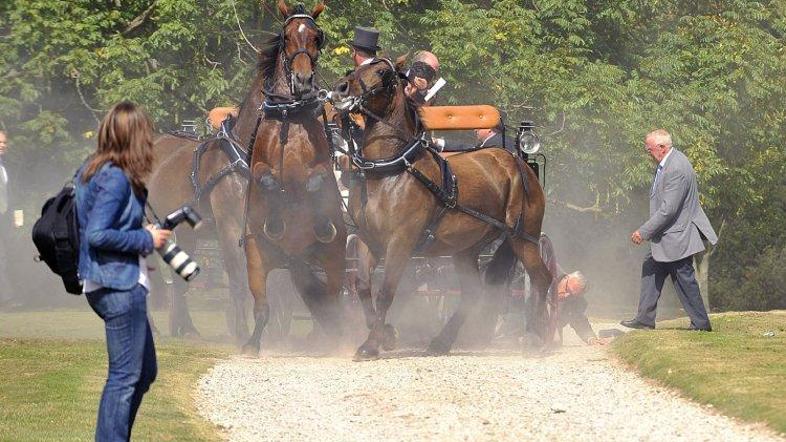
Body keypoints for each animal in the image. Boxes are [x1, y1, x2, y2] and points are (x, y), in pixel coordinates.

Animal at [239, 0, 346, 352]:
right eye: (286, 37)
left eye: (317, 37)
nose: (302, 80)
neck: (290, 116)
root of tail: (295, 259)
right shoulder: (258, 166)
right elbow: (268, 180)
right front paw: (277, 215)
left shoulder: (324, 166)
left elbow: (315, 182)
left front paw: (316, 215)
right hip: (257, 259)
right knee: (262, 305)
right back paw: (252, 344)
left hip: (334, 260)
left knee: (333, 302)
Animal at [330, 57, 552, 360]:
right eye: (357, 67)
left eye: (382, 72)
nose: (341, 89)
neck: (389, 172)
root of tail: (516, 160)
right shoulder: (367, 239)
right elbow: (363, 287)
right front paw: (384, 334)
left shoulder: (401, 241)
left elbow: (386, 292)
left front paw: (373, 343)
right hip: (466, 248)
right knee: (473, 293)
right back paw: (442, 341)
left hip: (524, 237)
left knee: (542, 278)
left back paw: (536, 337)